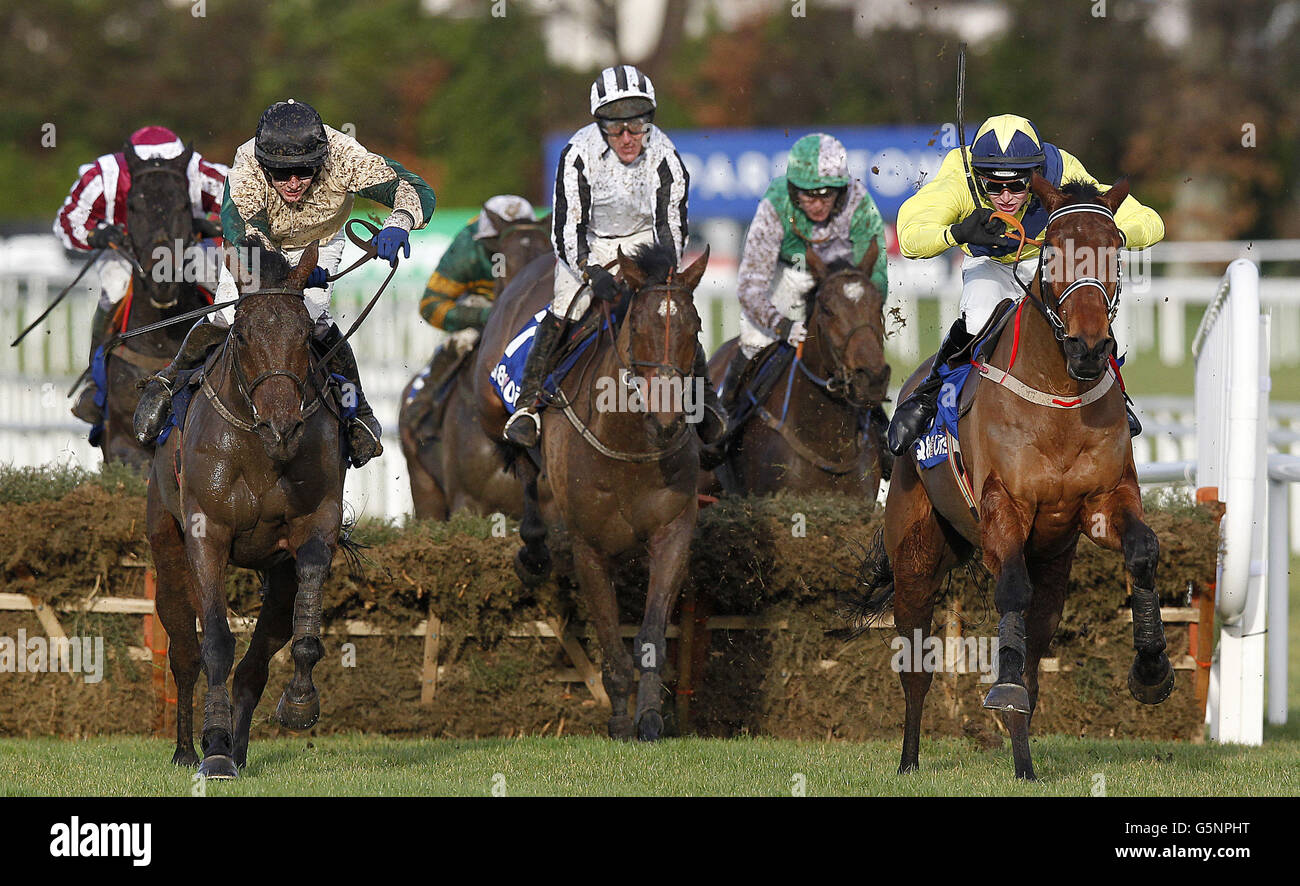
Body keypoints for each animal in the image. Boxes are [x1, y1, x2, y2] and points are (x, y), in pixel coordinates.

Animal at [146, 237, 348, 774]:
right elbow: (215, 641)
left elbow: (303, 625)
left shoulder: (315, 525)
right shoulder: (206, 534)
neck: (261, 452)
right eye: (241, 335)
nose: (283, 428)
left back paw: (238, 747)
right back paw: (187, 749)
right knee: (184, 651)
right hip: (167, 554)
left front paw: (298, 704)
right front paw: (213, 751)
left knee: (254, 667)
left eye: (306, 335)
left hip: (274, 580)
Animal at [473, 241, 707, 737]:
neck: (629, 444)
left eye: (695, 327)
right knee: (521, 462)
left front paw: (649, 716)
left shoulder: (674, 532)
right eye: (637, 327)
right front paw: (618, 718)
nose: (667, 420)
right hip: (489, 407)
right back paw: (533, 551)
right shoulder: (590, 546)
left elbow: (651, 633)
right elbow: (607, 635)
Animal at [857, 175, 1175, 774]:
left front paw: (1151, 669)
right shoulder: (1004, 507)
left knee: (1036, 648)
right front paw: (1001, 690)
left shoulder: (1103, 503)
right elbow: (1009, 590)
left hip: (1052, 561)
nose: (1089, 348)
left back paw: (1024, 762)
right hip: (916, 556)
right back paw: (909, 760)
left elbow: (1142, 551)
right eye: (1051, 252)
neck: (1060, 398)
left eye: (1115, 249)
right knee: (916, 669)